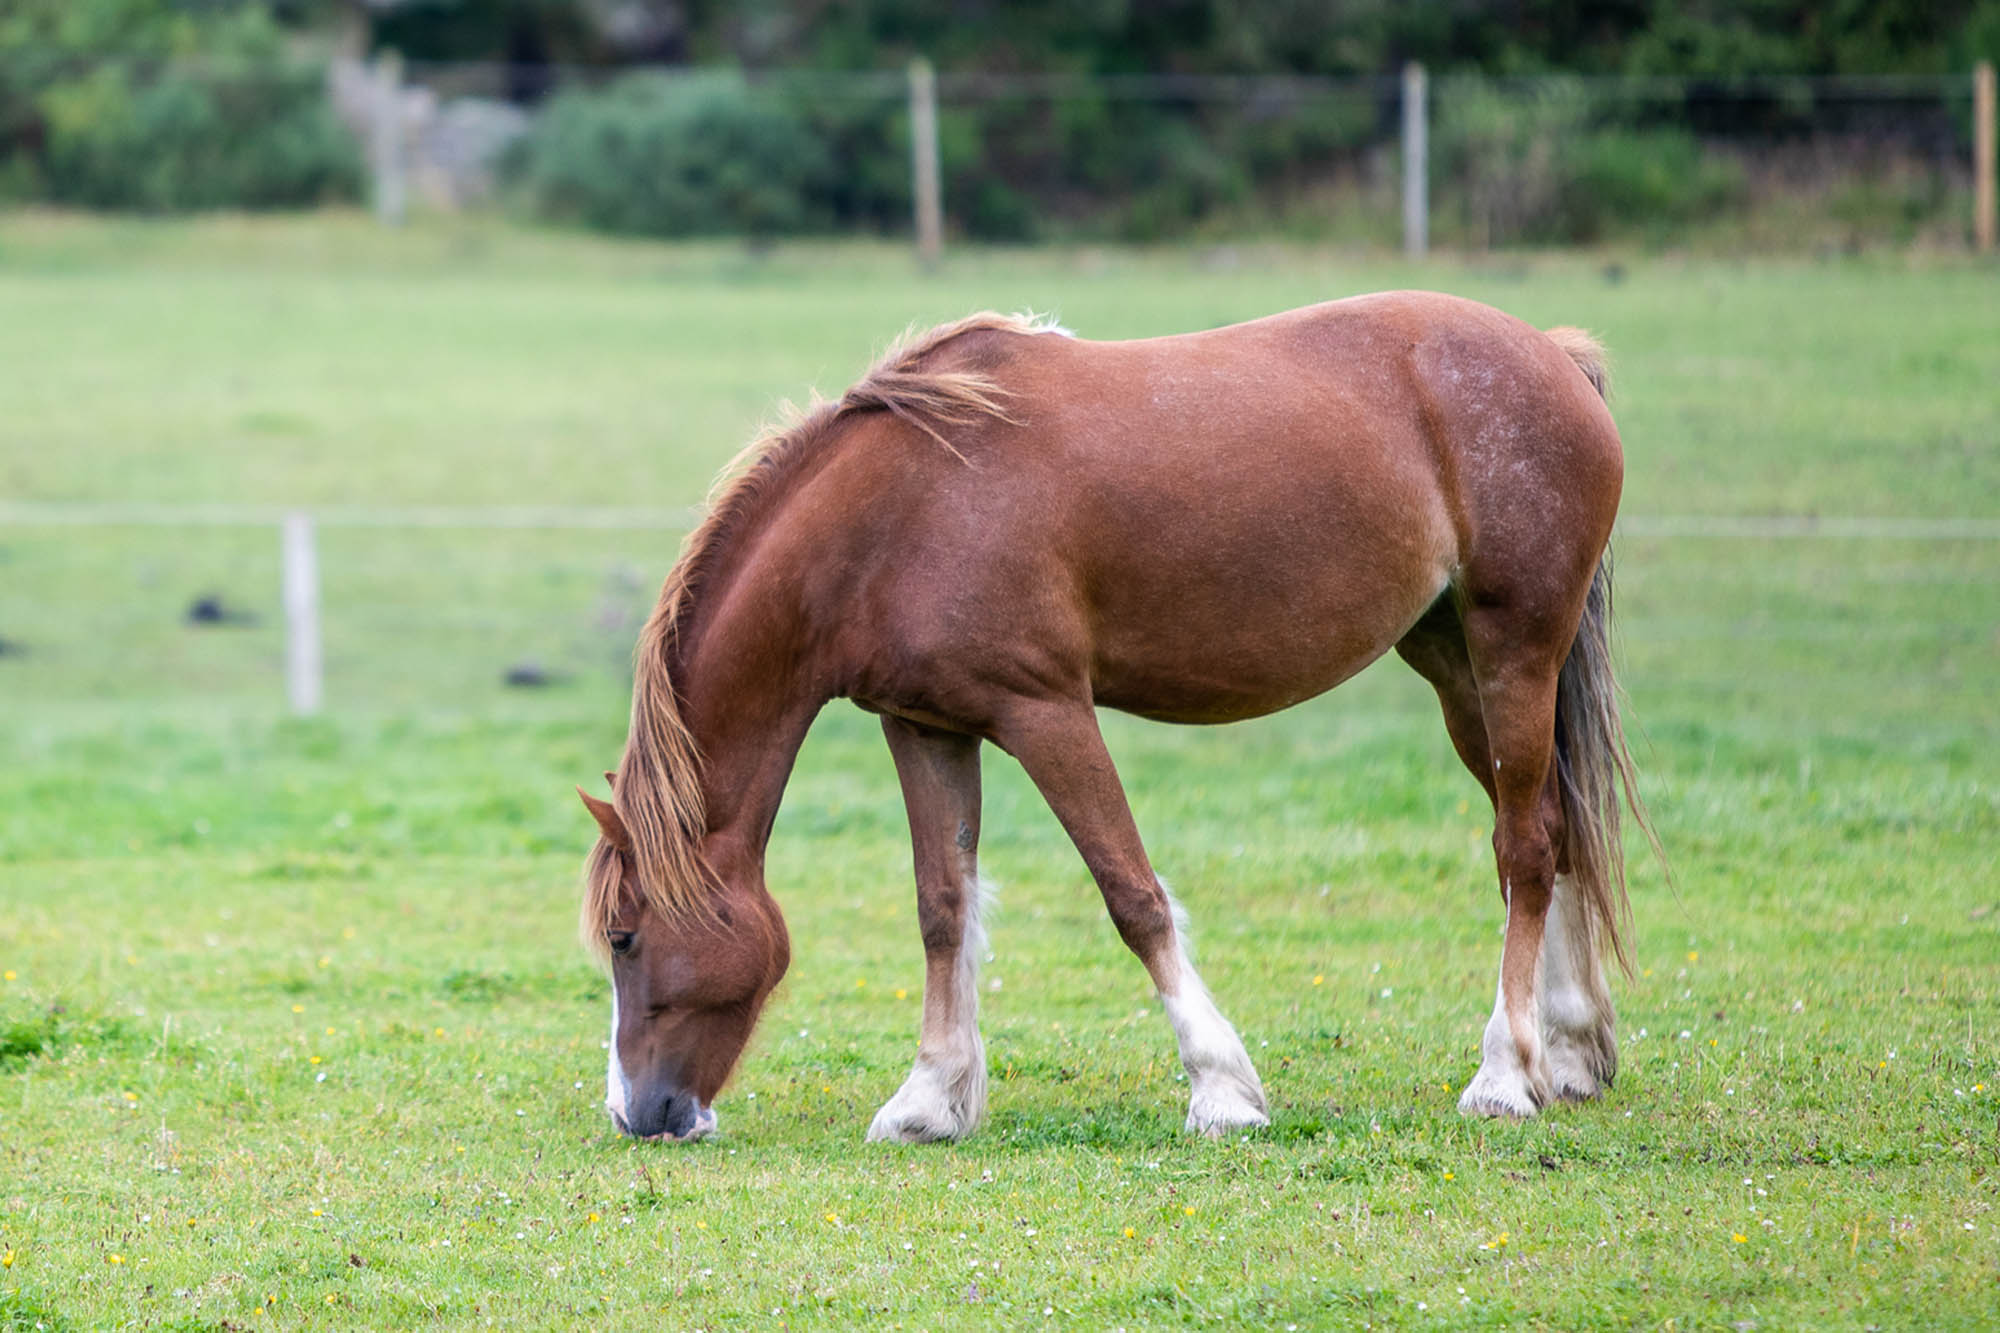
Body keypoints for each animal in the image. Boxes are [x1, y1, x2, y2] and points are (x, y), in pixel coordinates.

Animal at [580, 294, 1656, 1144]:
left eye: (625, 938)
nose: (640, 1113)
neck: (895, 510)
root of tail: (1553, 353)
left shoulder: (1046, 711)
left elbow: (1129, 893)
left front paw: (1221, 1089)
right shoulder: (924, 724)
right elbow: (943, 906)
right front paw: (929, 1099)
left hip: (1513, 649)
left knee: (1523, 848)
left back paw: (1502, 1074)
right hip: (1452, 665)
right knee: (1552, 830)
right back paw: (1566, 1056)